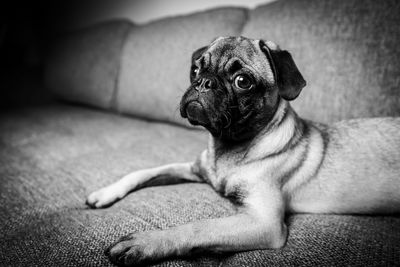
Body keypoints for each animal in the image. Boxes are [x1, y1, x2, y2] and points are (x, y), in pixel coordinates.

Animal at [85, 36, 400, 266]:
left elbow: (199, 227)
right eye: (195, 70)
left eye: (242, 81)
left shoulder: (264, 223)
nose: (203, 82)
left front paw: (146, 243)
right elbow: (144, 171)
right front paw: (105, 192)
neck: (228, 147)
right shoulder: (194, 169)